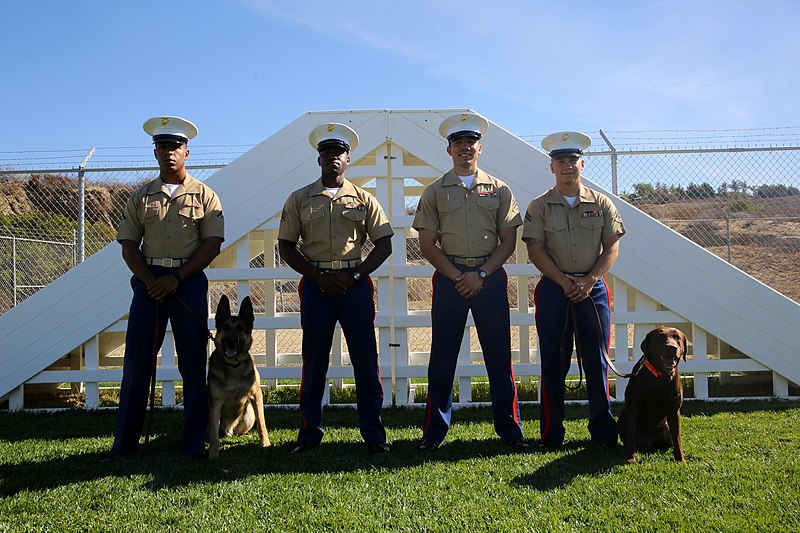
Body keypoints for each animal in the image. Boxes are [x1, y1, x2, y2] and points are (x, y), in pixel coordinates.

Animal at [208, 296, 270, 458]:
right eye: (225, 327)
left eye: (240, 328)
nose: (231, 342)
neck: (233, 366)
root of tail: (229, 430)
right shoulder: (215, 404)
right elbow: (213, 435)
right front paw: (213, 453)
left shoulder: (256, 395)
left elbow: (262, 424)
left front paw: (266, 443)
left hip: (248, 416)